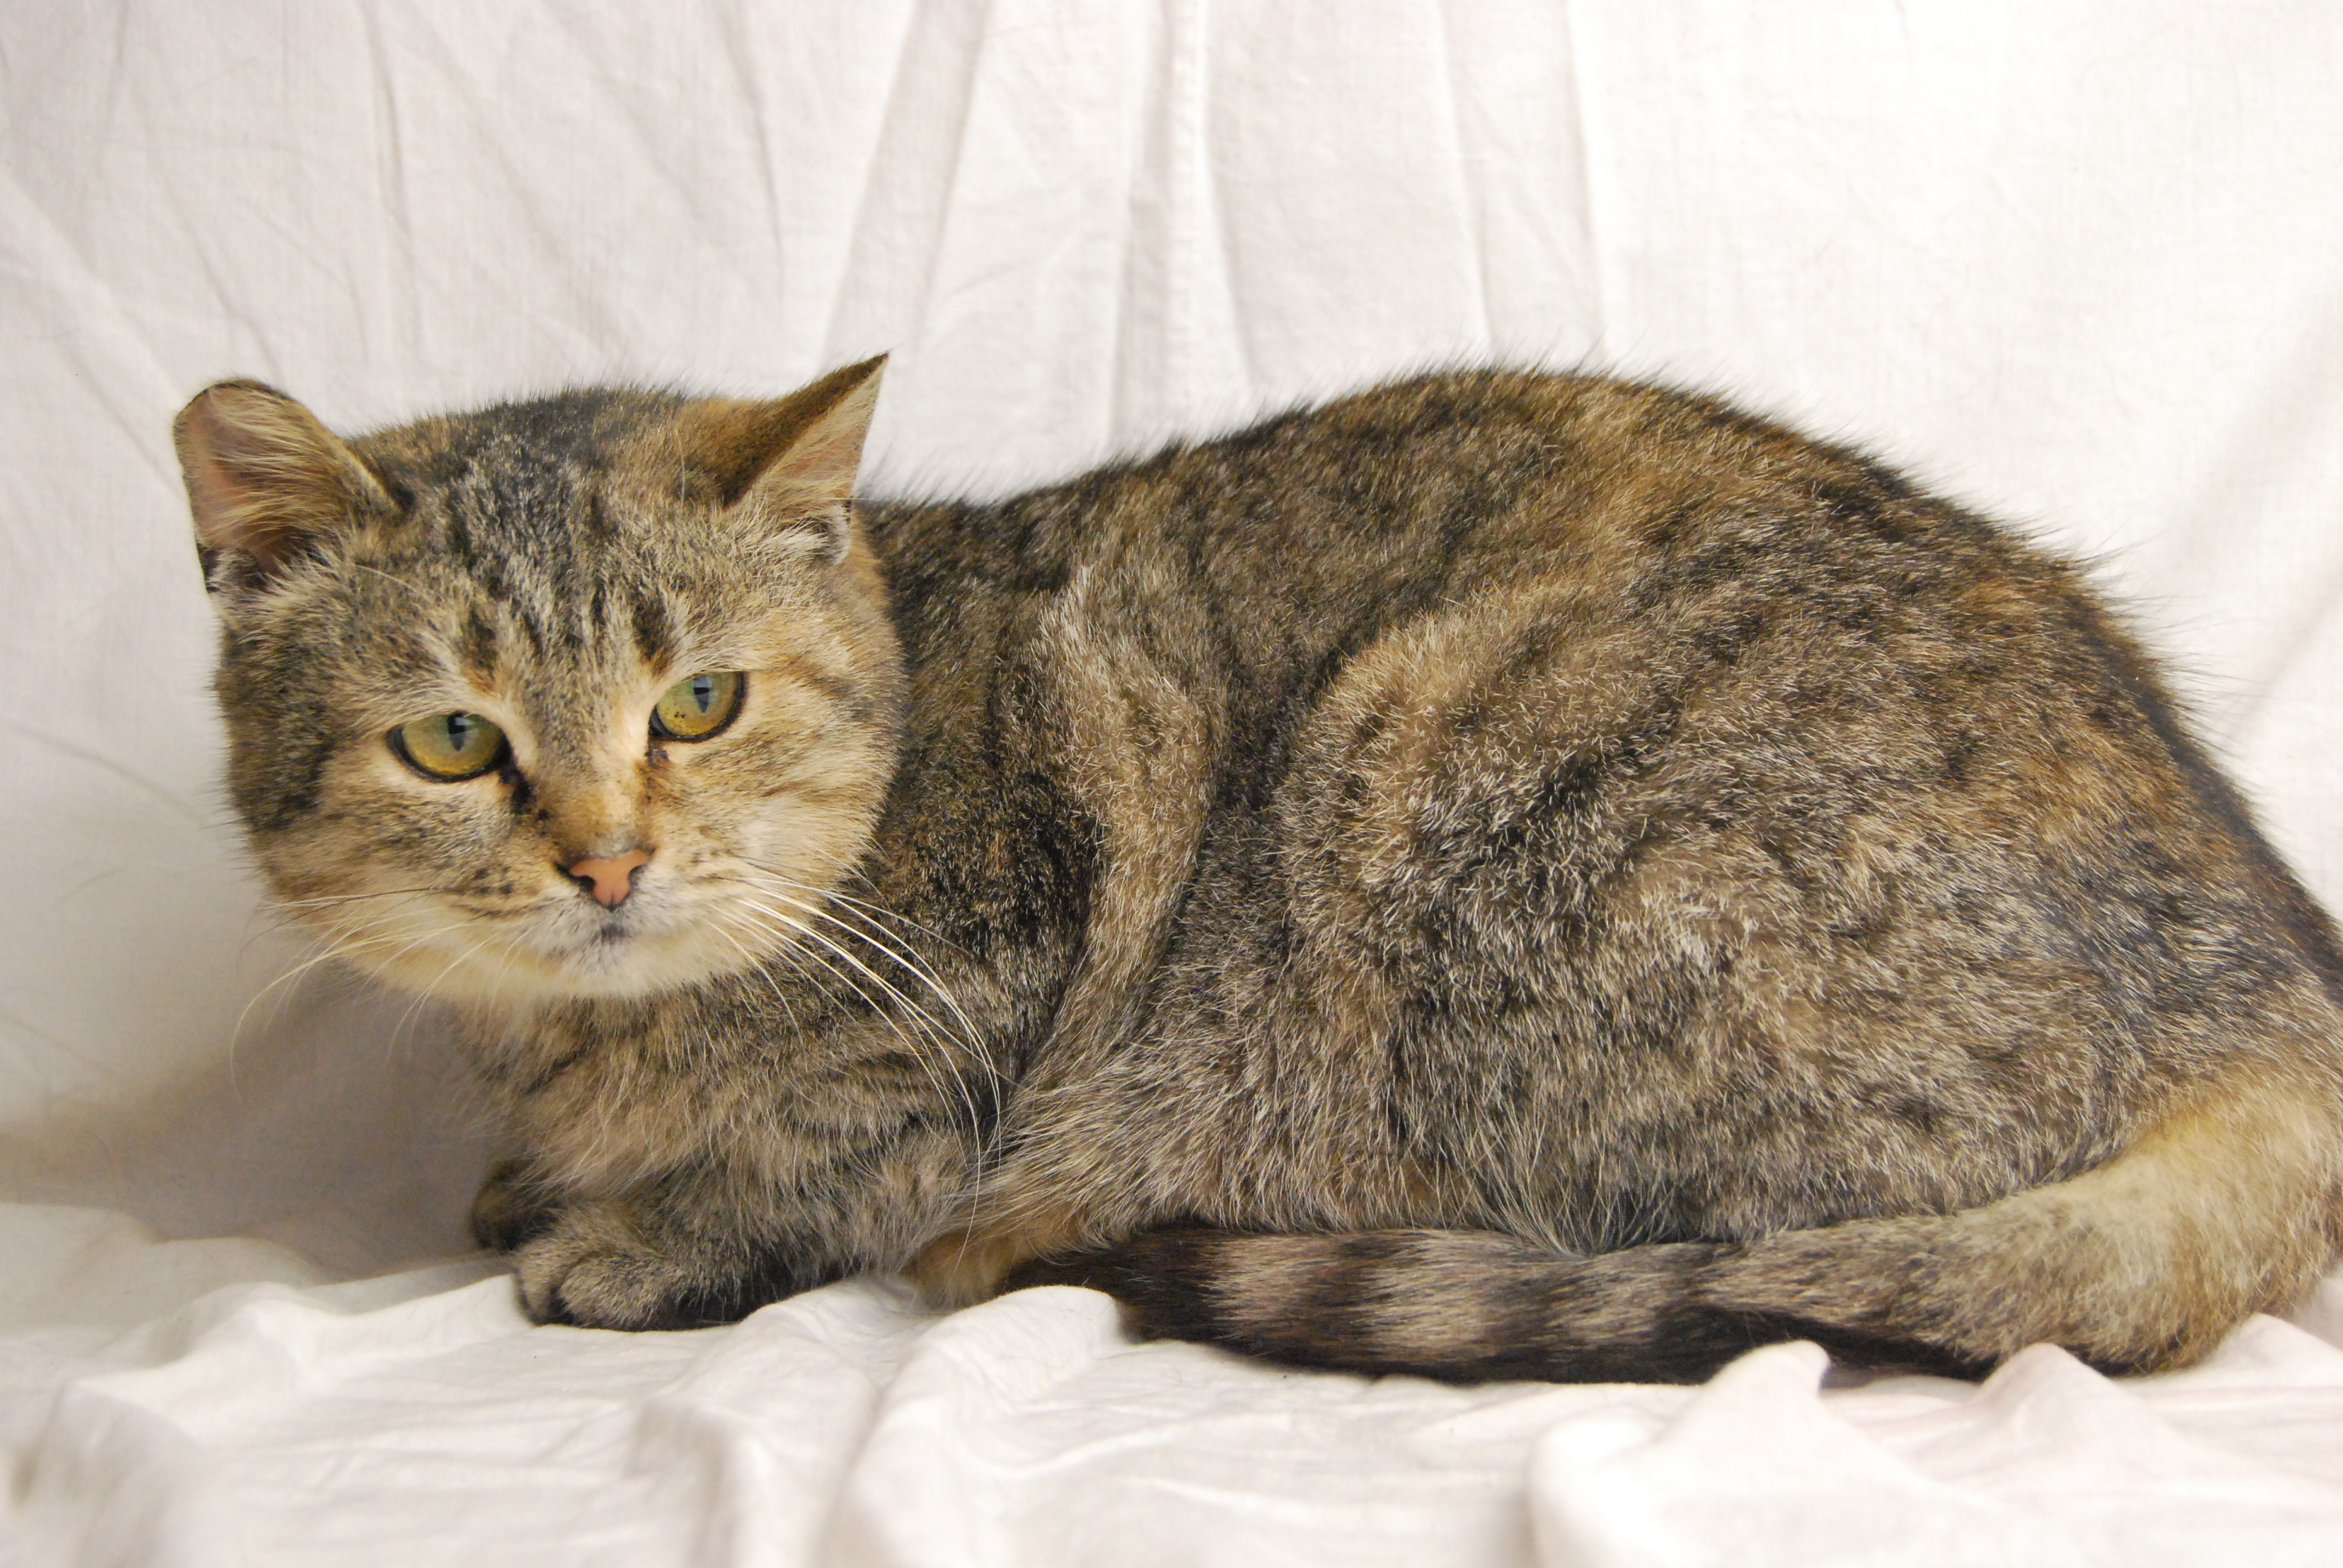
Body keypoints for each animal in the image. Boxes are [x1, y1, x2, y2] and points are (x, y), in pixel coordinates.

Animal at [174, 357, 2343, 1384]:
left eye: (695, 704)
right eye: (454, 740)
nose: (606, 861)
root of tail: (2281, 990)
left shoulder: (1001, 965)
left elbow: (830, 1143)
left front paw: (644, 1226)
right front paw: (532, 1173)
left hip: (1448, 783)